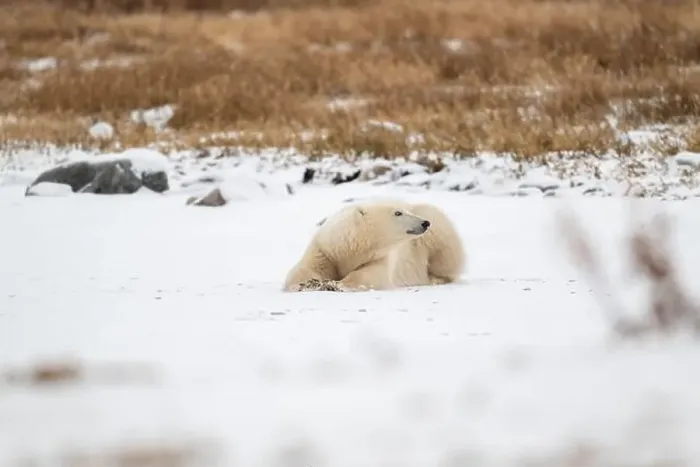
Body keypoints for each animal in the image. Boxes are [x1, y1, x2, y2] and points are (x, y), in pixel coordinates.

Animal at [283, 199, 466, 292]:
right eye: (398, 213)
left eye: (403, 211)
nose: (425, 223)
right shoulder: (324, 250)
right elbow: (304, 269)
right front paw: (307, 284)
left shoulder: (382, 257)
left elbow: (372, 274)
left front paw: (339, 284)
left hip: (437, 230)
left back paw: (435, 278)